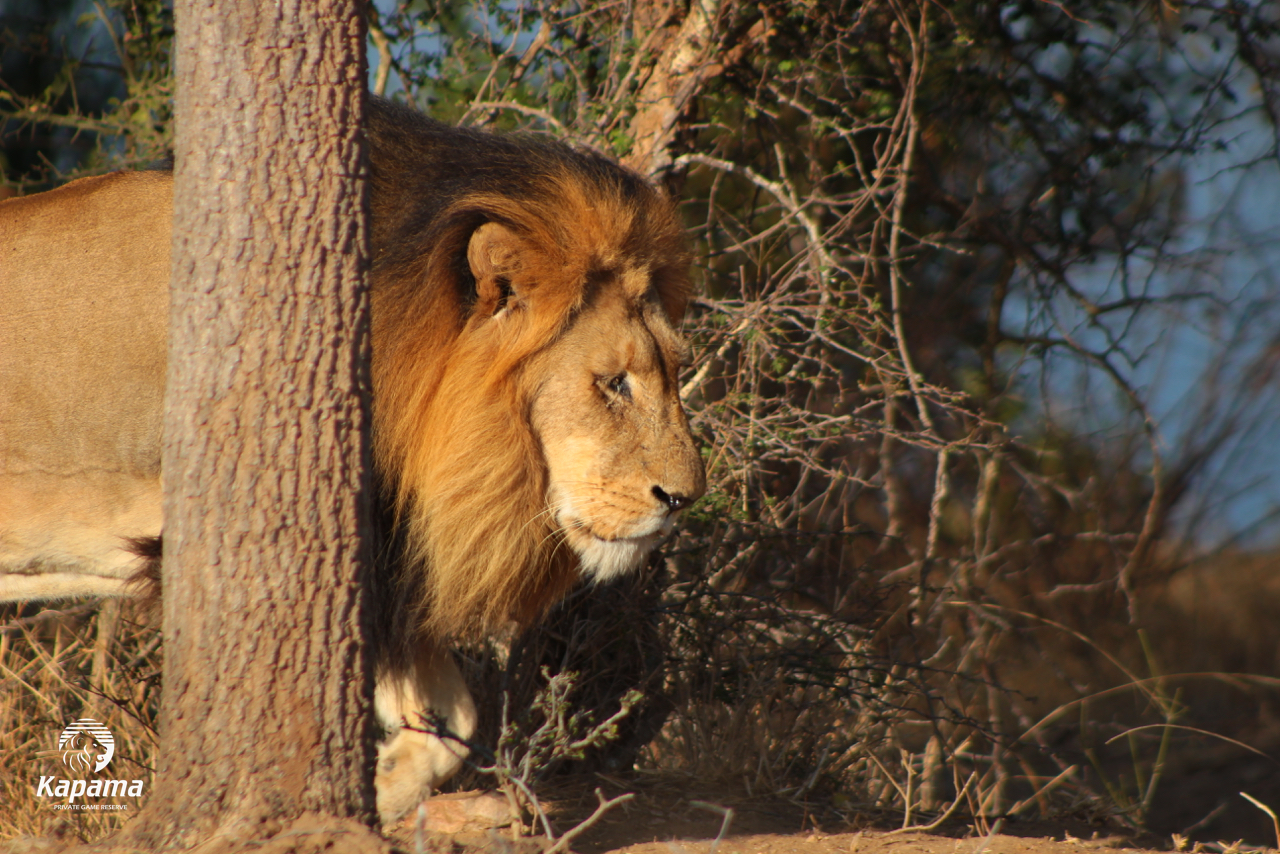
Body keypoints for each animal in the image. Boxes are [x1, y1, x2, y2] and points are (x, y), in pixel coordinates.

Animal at [0, 97, 705, 824]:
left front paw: (379, 794)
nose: (684, 498)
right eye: (614, 383)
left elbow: (452, 722)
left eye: (676, 371)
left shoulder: (391, 562)